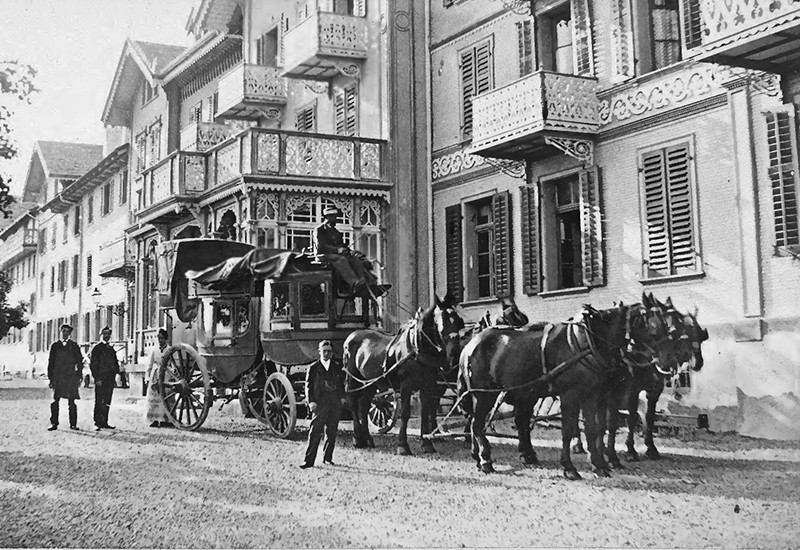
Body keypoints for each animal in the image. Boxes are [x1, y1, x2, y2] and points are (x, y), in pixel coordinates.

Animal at [460, 304, 680, 480]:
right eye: (651, 327)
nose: (669, 360)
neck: (589, 343)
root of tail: (471, 344)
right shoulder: (570, 396)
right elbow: (568, 430)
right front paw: (569, 467)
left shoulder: (592, 396)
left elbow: (593, 429)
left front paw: (599, 465)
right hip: (483, 395)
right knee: (477, 424)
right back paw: (485, 459)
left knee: (501, 422)